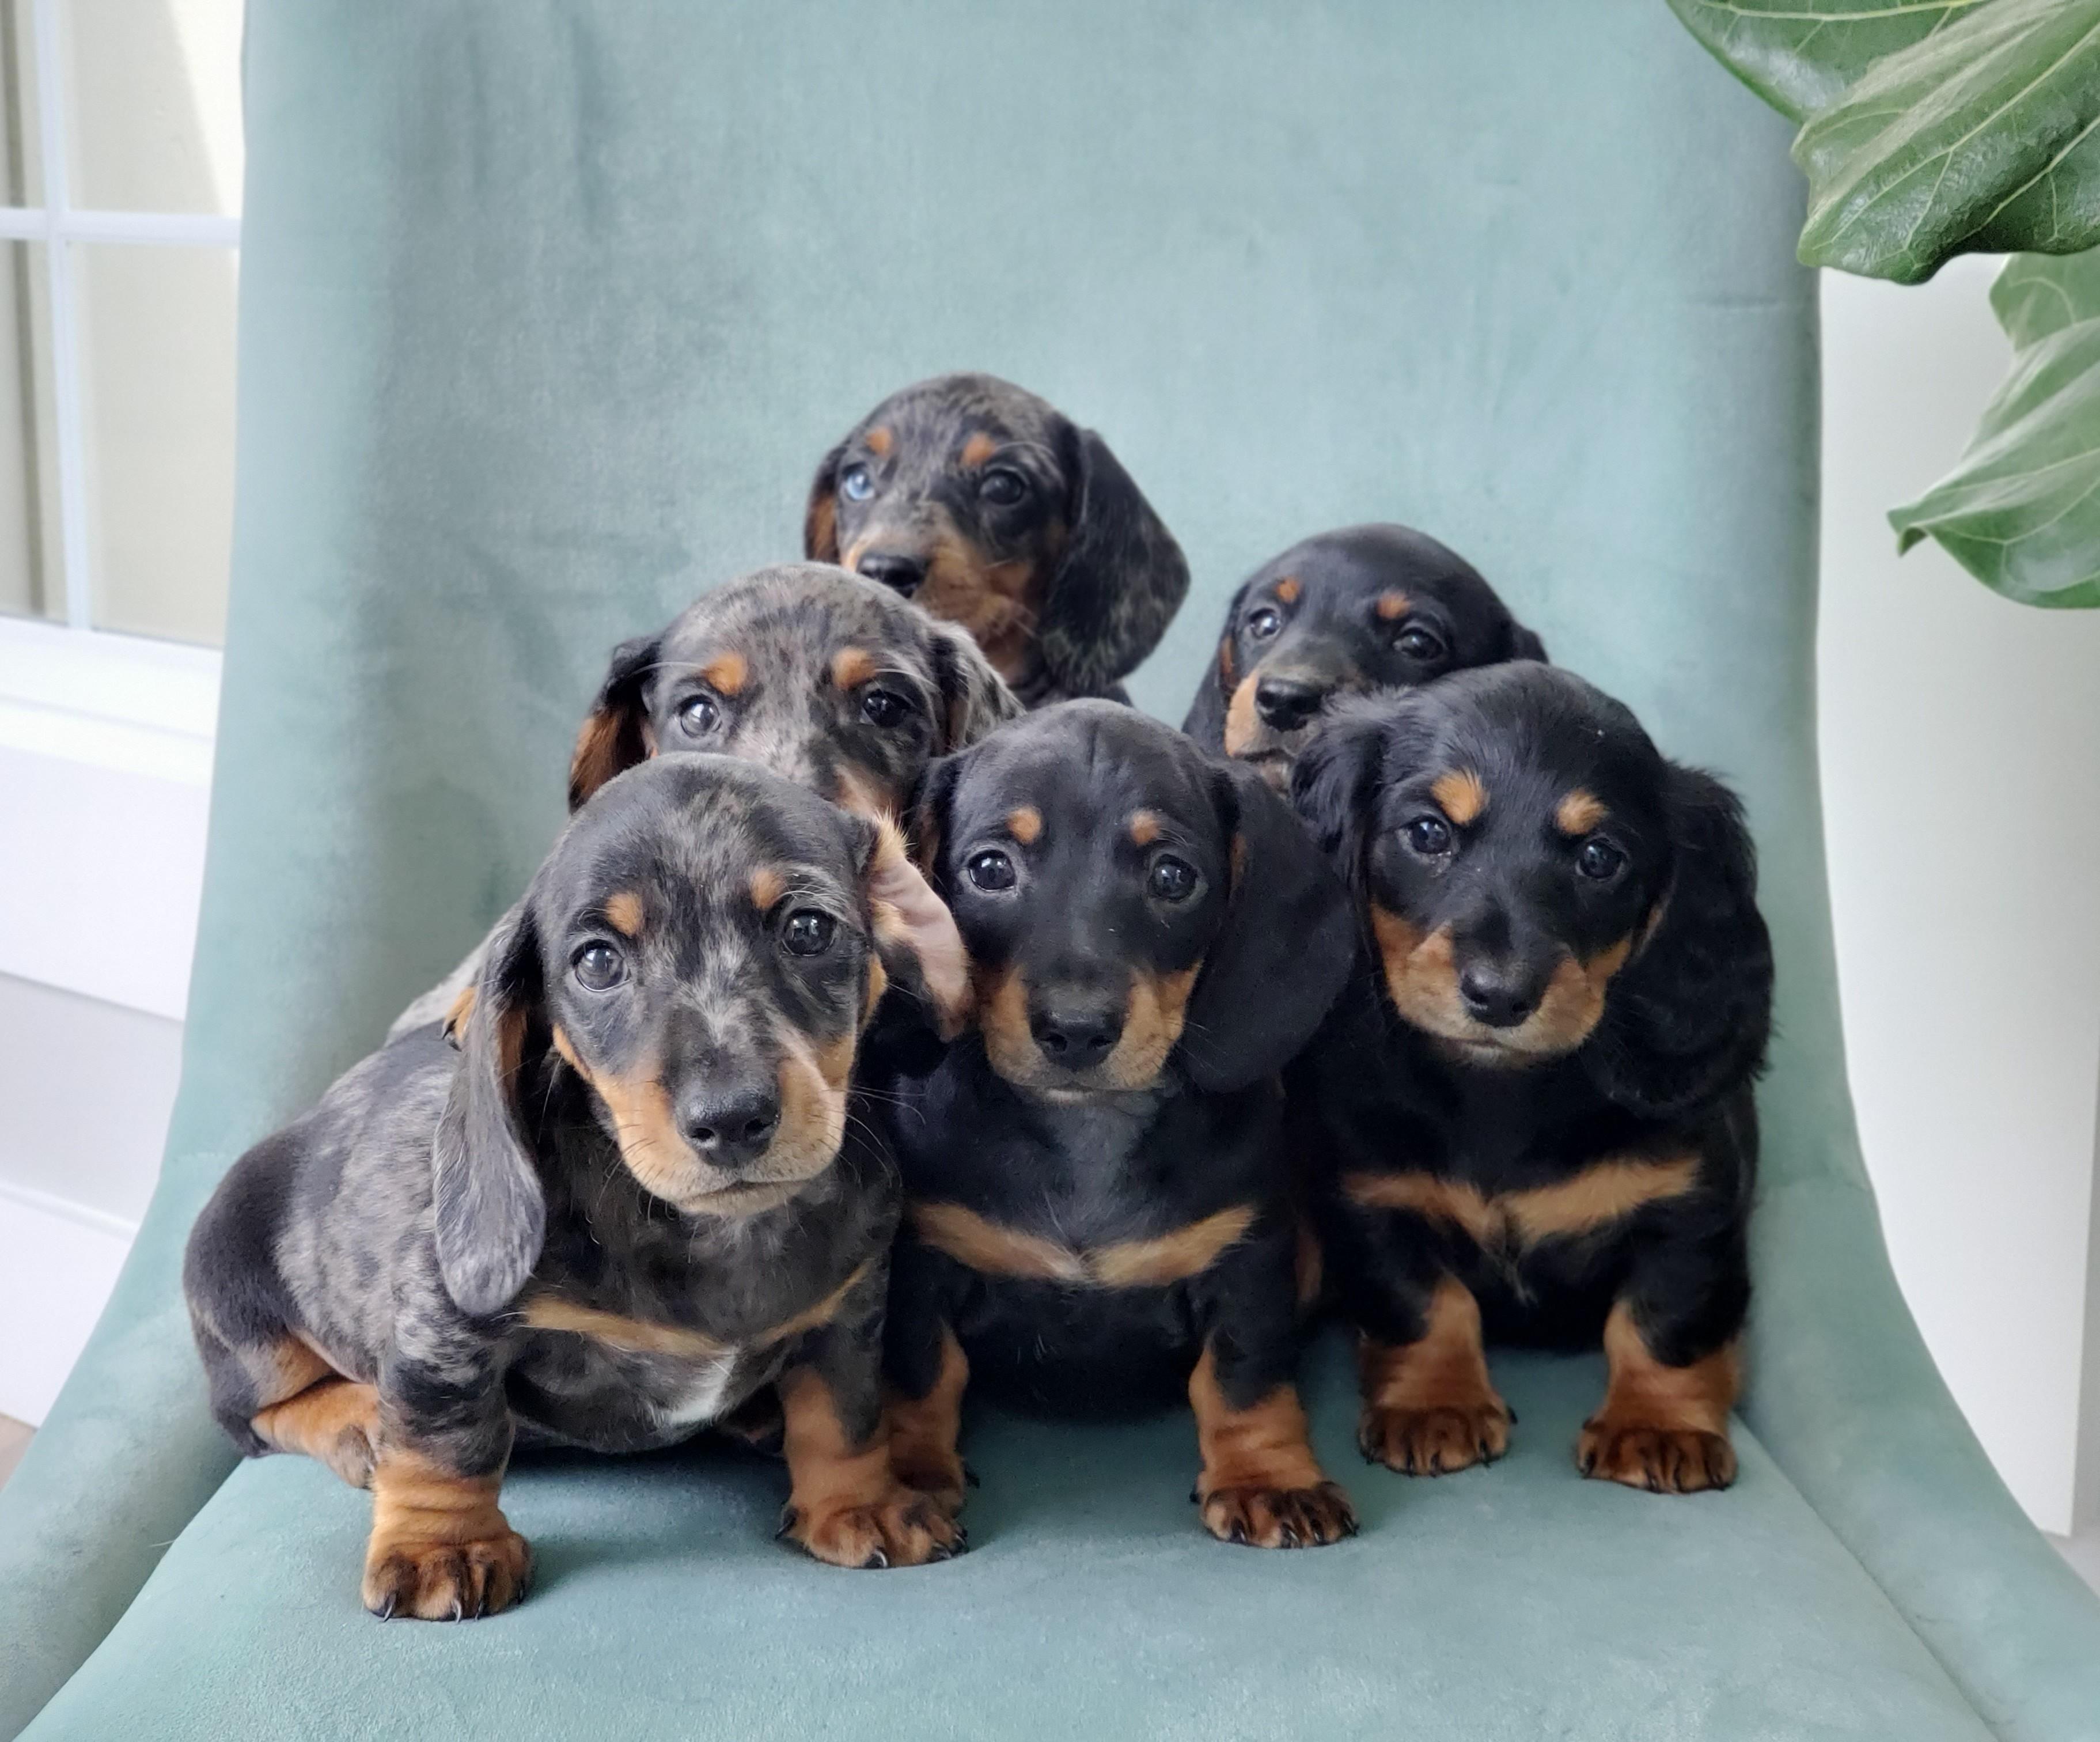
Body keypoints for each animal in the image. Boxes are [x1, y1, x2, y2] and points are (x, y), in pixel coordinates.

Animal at [186, 757, 973, 1619]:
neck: (714, 1235)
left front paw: (857, 1502)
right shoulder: (445, 1324)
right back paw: (359, 1422)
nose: (730, 1118)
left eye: (807, 929)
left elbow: (844, 1413)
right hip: (239, 1304)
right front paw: (442, 1545)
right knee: (254, 1417)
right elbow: (447, 1438)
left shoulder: (849, 1309)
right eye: (597, 961)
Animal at [882, 701, 1359, 1548]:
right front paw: (906, 1476)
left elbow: (1243, 1375)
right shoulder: (923, 1260)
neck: (1087, 1136)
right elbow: (923, 1373)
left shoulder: (1246, 1259)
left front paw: (1268, 1477)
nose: (1075, 1031)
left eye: (1172, 876)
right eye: (990, 869)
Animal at [1287, 663, 1770, 1494]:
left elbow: (1663, 1318)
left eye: (1599, 858)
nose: (1499, 995)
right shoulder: (1372, 1201)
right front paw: (1434, 1405)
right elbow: (1426, 1303)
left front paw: (1658, 1424)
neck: (1501, 1095)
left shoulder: (1693, 1211)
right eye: (1428, 833)